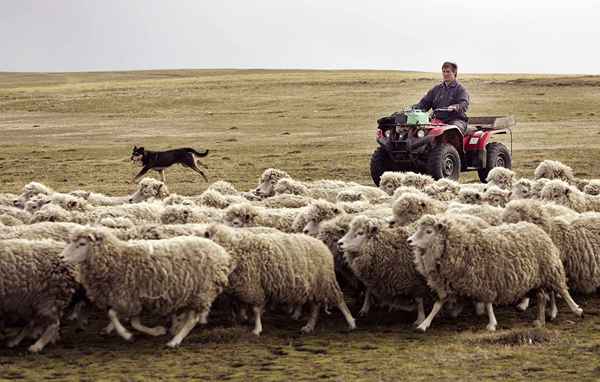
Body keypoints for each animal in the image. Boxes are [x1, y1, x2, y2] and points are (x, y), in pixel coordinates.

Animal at [204, 224, 358, 334]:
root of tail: (321, 245)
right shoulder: (244, 286)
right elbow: (243, 305)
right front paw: (243, 320)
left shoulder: (254, 286)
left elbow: (255, 308)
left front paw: (257, 329)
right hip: (315, 285)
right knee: (315, 306)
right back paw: (309, 326)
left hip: (325, 281)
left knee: (339, 300)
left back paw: (351, 322)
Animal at [406, 212, 584, 332]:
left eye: (429, 231)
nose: (409, 241)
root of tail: (536, 228)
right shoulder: (451, 283)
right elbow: (437, 304)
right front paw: (424, 324)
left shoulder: (485, 281)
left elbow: (488, 303)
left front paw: (491, 324)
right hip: (536, 279)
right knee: (541, 298)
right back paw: (540, 320)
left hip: (550, 269)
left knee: (562, 290)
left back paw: (576, 310)